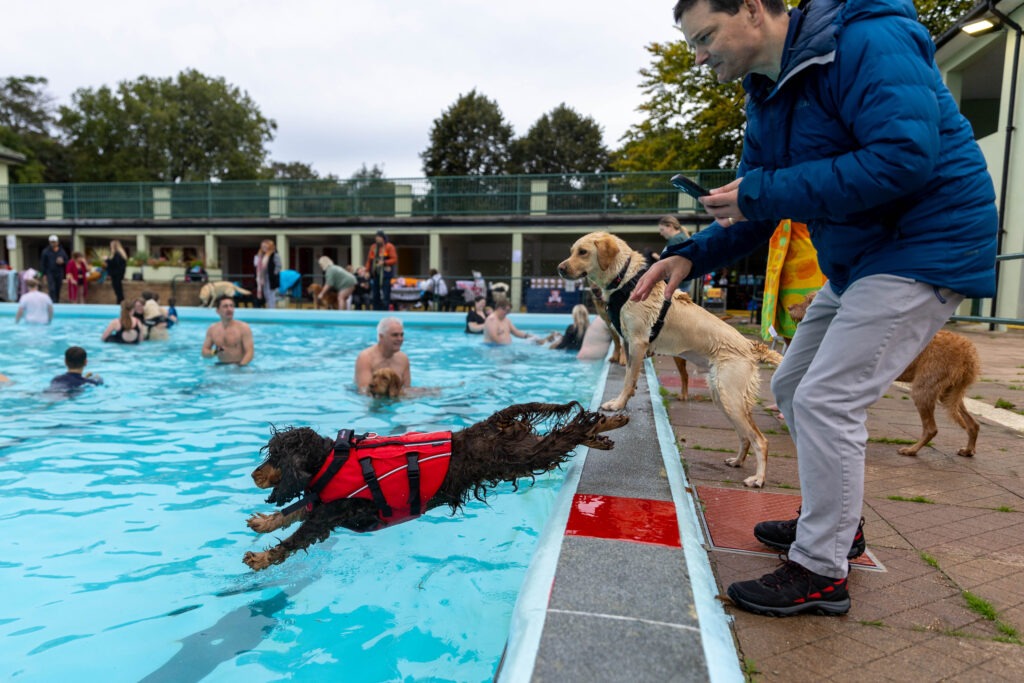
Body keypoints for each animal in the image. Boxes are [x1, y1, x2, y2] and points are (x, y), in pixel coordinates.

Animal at [243, 403, 626, 569]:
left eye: (275, 456)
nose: (254, 475)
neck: (330, 460)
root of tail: (492, 423)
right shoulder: (323, 502)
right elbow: (292, 512)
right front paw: (264, 522)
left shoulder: (330, 513)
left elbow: (295, 538)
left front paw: (261, 558)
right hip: (519, 447)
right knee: (559, 434)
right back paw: (604, 430)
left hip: (520, 455)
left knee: (566, 433)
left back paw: (603, 422)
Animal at [557, 232, 778, 489]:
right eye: (571, 251)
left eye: (582, 252)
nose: (560, 268)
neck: (624, 279)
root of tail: (750, 346)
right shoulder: (628, 342)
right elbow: (630, 376)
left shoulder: (637, 342)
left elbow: (628, 379)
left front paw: (617, 404)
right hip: (723, 398)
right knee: (745, 436)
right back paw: (737, 461)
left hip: (729, 397)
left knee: (760, 440)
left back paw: (758, 478)